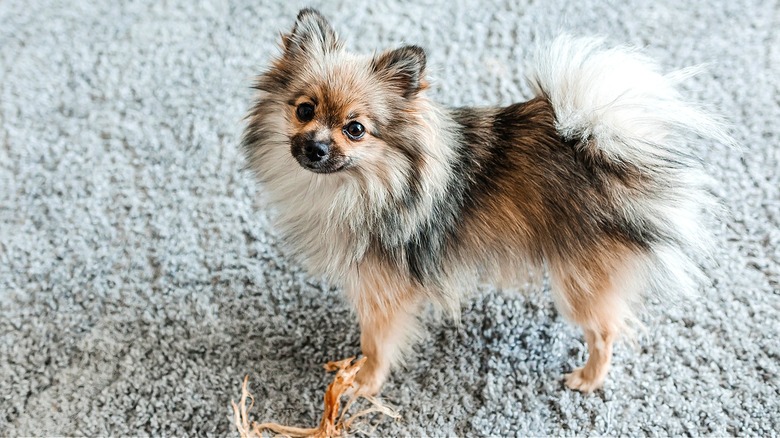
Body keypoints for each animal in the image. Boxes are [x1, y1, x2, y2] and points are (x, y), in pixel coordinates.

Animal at [244, 8, 732, 396]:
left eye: (355, 129)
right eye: (304, 110)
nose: (315, 148)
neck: (365, 184)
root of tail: (605, 145)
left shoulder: (384, 292)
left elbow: (376, 344)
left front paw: (362, 383)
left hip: (578, 281)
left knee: (606, 331)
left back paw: (588, 378)